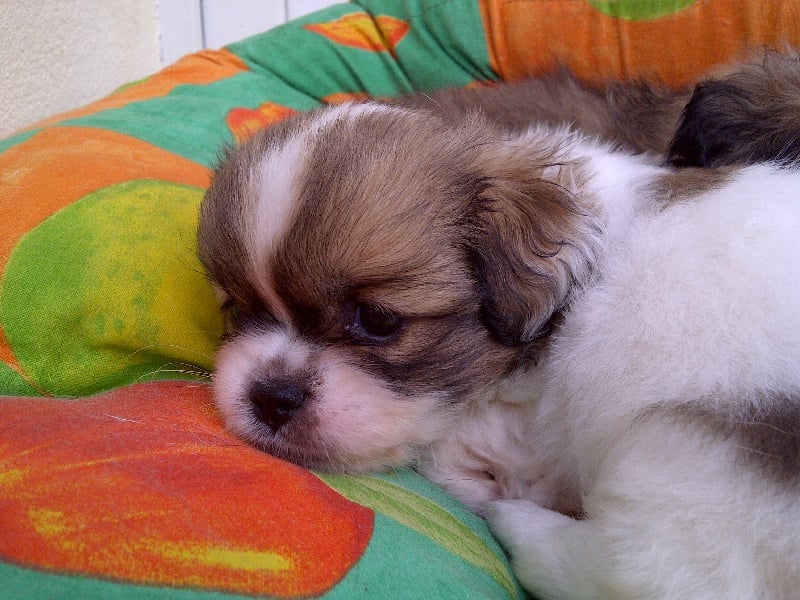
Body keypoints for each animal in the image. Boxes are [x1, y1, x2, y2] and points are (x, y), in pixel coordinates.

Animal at [198, 52, 800, 598]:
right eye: (237, 309)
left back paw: (521, 526)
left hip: (680, 463)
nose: (271, 395)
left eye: (377, 320)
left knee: (635, 571)